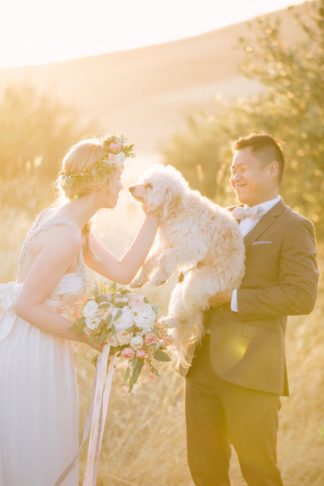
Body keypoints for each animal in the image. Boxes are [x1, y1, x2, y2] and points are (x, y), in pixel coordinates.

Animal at [128, 164, 244, 368]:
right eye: (144, 181)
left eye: (150, 185)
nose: (130, 188)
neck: (177, 208)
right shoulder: (167, 243)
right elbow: (150, 260)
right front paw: (140, 279)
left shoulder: (190, 246)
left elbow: (165, 259)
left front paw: (159, 277)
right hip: (182, 289)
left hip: (195, 283)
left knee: (186, 317)